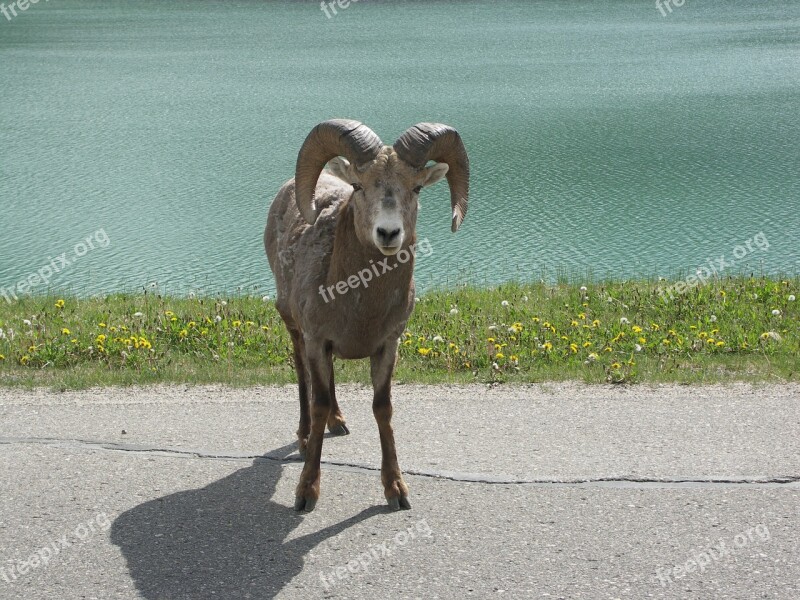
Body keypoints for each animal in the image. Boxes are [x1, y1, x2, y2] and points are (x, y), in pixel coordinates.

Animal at [266, 118, 468, 510]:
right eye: (358, 186)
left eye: (417, 188)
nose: (388, 233)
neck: (359, 305)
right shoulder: (317, 340)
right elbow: (317, 403)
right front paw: (306, 492)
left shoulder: (387, 345)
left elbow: (382, 409)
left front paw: (396, 490)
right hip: (294, 328)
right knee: (303, 377)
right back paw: (304, 438)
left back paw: (339, 422)